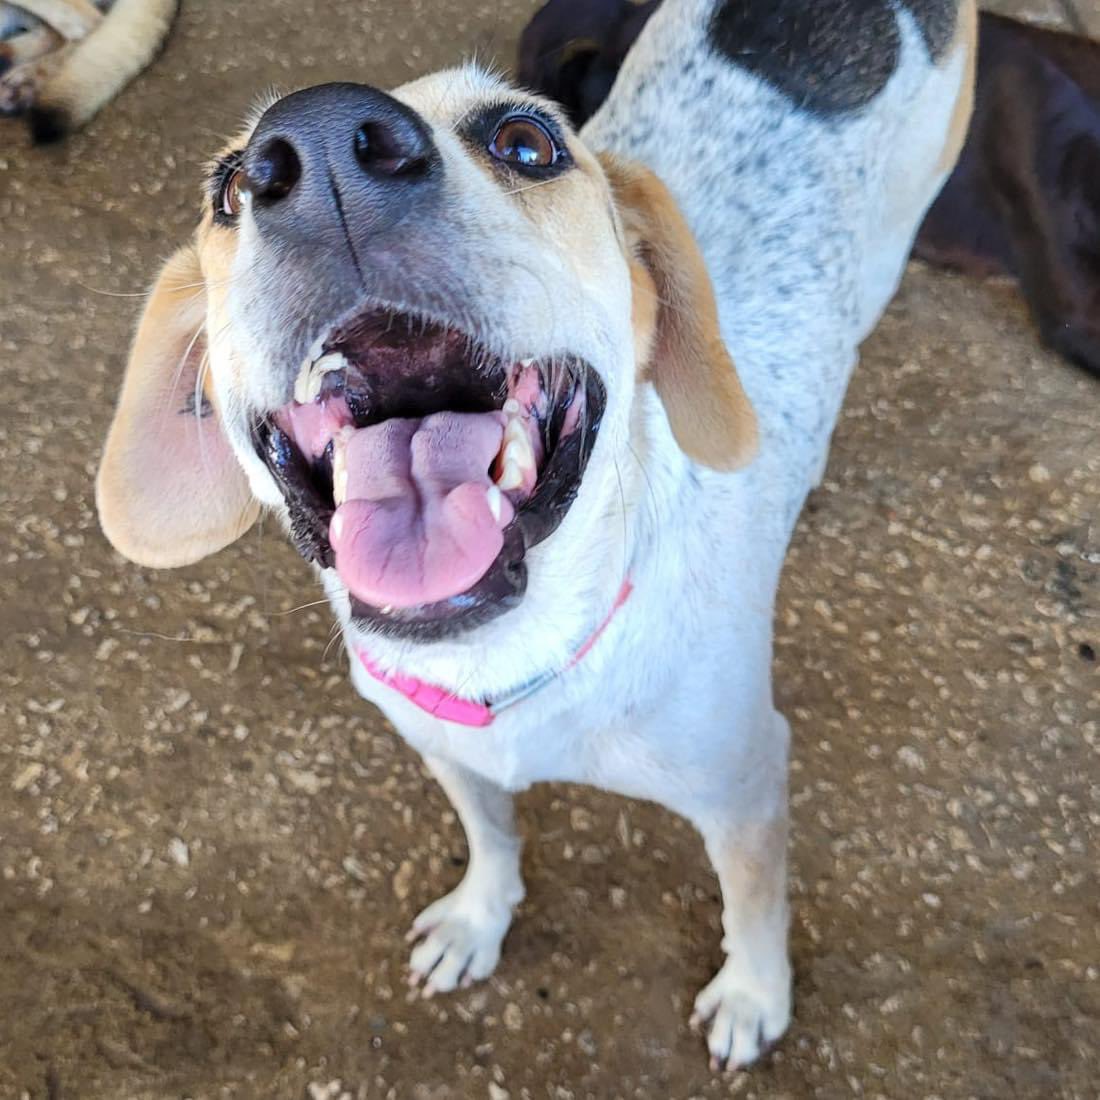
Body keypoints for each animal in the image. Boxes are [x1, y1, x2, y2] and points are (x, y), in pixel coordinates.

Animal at [92, 0, 972, 1069]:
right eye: (226, 188)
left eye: (529, 141)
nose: (319, 142)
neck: (515, 654)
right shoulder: (446, 748)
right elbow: (493, 835)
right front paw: (481, 918)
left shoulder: (749, 783)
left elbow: (754, 904)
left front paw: (755, 994)